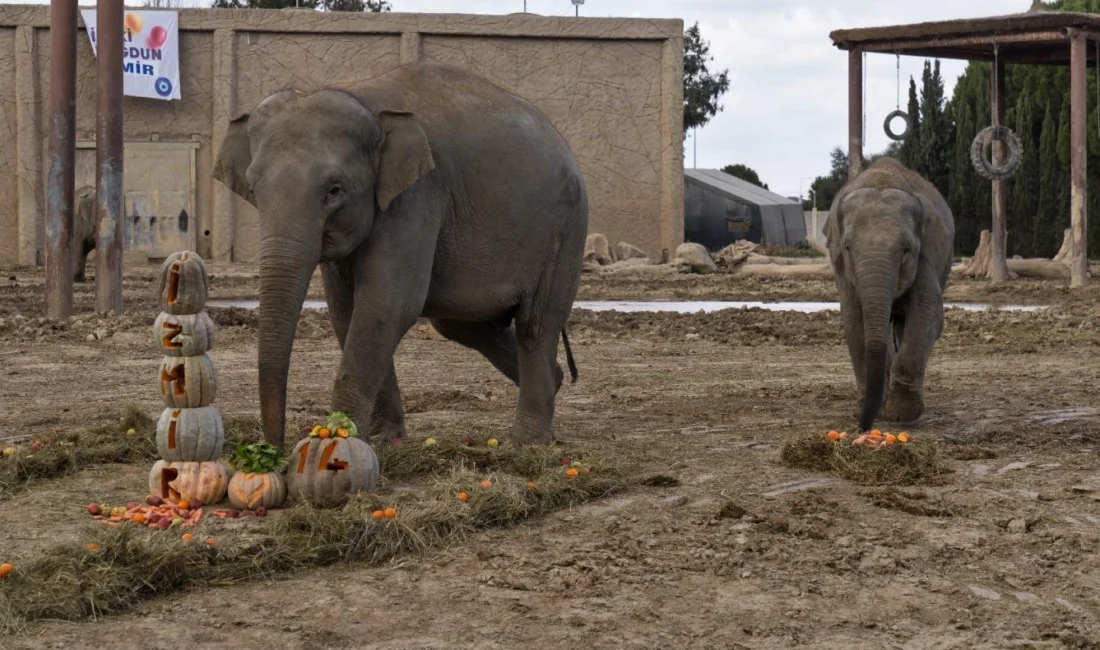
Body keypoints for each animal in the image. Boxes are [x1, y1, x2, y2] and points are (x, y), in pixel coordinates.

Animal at [215, 63, 594, 453]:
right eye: (253, 188)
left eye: (334, 190)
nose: (271, 451)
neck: (363, 99)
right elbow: (347, 312)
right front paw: (385, 441)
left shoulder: (417, 196)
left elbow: (386, 305)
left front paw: (341, 438)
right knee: (462, 324)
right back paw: (556, 381)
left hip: (565, 227)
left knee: (537, 323)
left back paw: (527, 442)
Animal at [827, 157, 954, 433]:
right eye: (848, 248)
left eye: (906, 249)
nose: (862, 428)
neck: (882, 179)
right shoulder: (842, 269)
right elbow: (853, 320)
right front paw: (867, 410)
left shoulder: (926, 253)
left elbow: (929, 313)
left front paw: (899, 415)